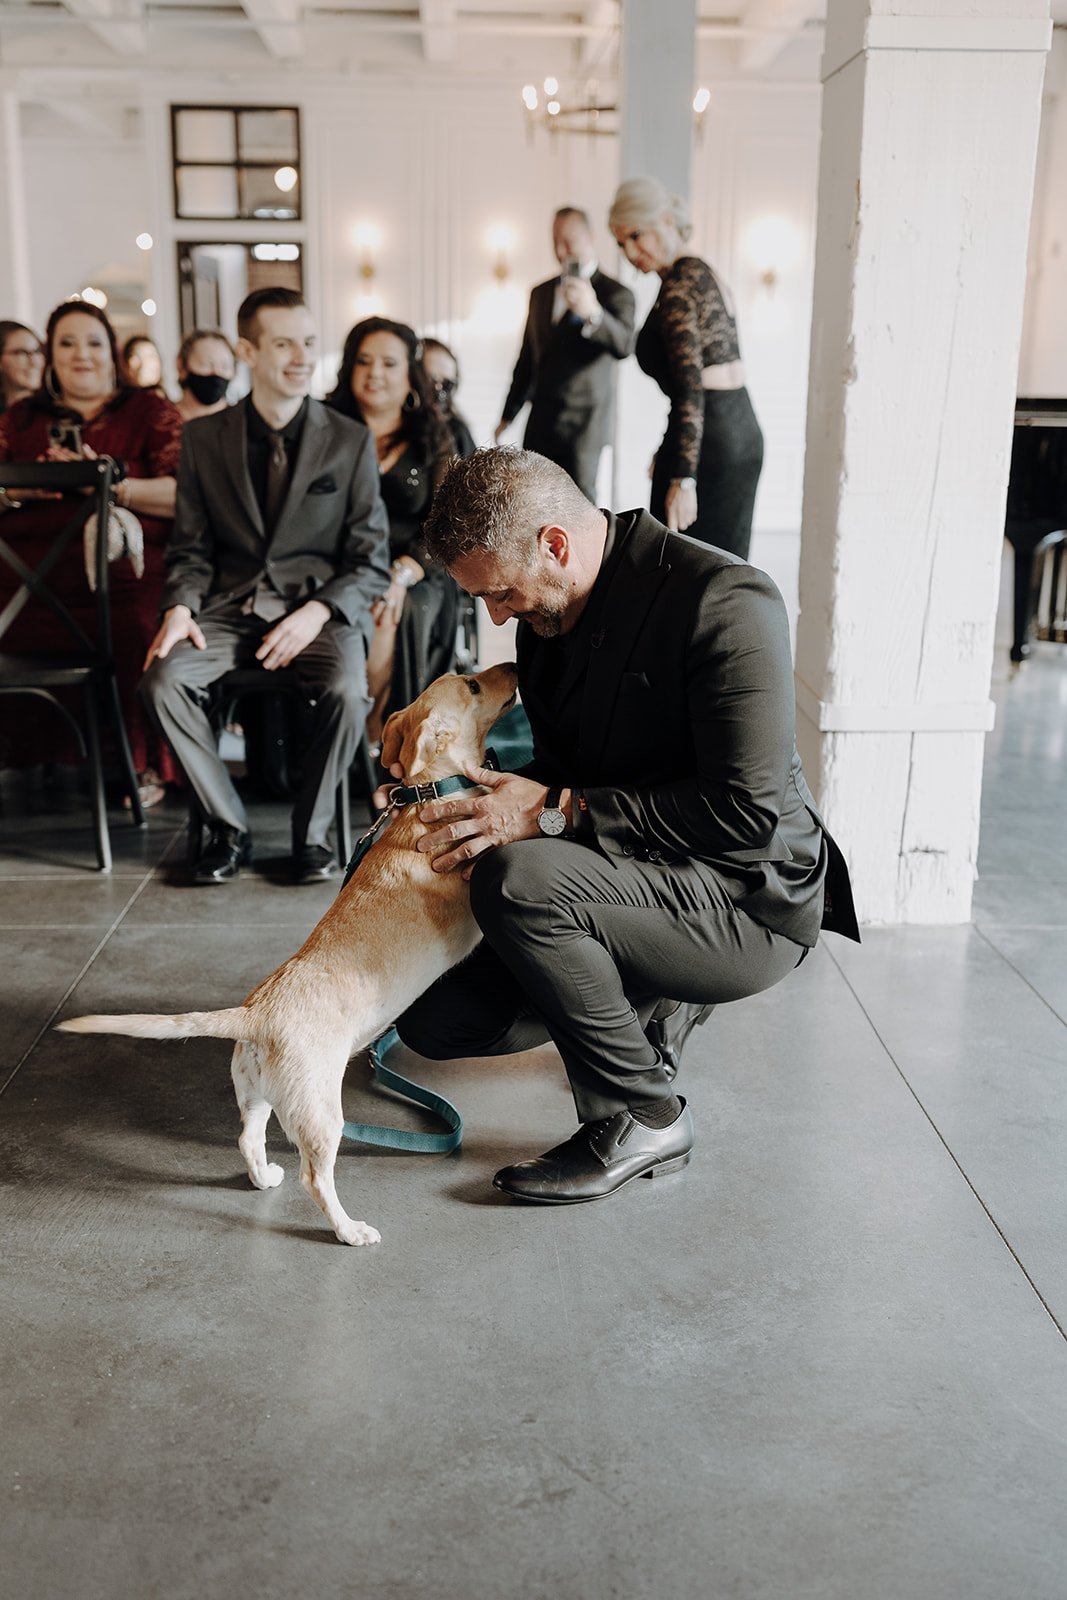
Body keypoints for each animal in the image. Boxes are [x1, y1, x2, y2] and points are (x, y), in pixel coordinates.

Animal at [58, 662, 521, 1248]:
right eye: (473, 684)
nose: (515, 666)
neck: (428, 793)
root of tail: (254, 1016)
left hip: (257, 1095)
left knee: (248, 1139)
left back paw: (262, 1177)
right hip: (321, 1113)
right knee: (314, 1179)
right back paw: (350, 1230)